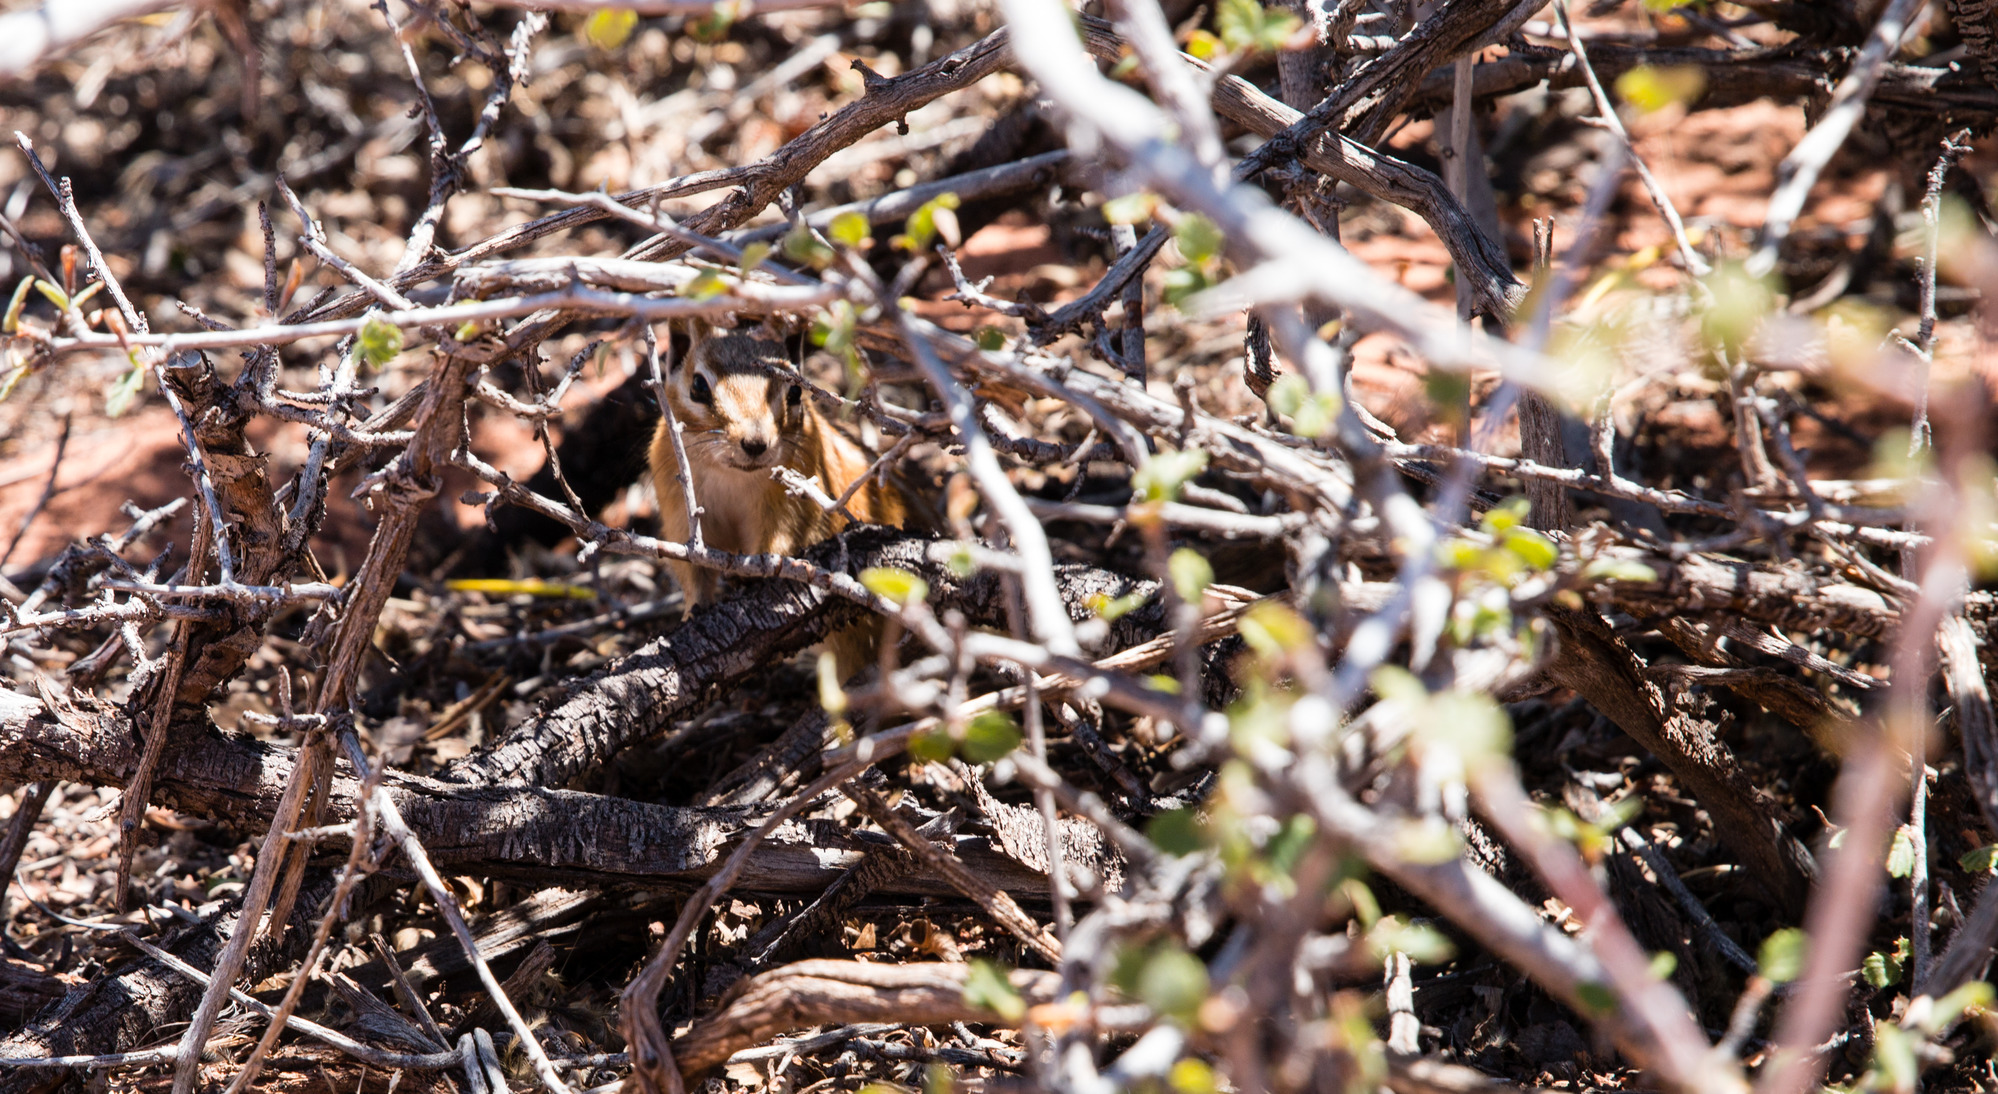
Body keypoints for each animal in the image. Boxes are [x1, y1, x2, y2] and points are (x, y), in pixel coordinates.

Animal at [648, 318, 908, 674]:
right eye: (698, 386)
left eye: (796, 390)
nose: (755, 443)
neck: (733, 478)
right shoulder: (680, 515)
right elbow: (694, 572)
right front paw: (691, 614)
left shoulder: (791, 509)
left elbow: (776, 548)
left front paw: (749, 576)